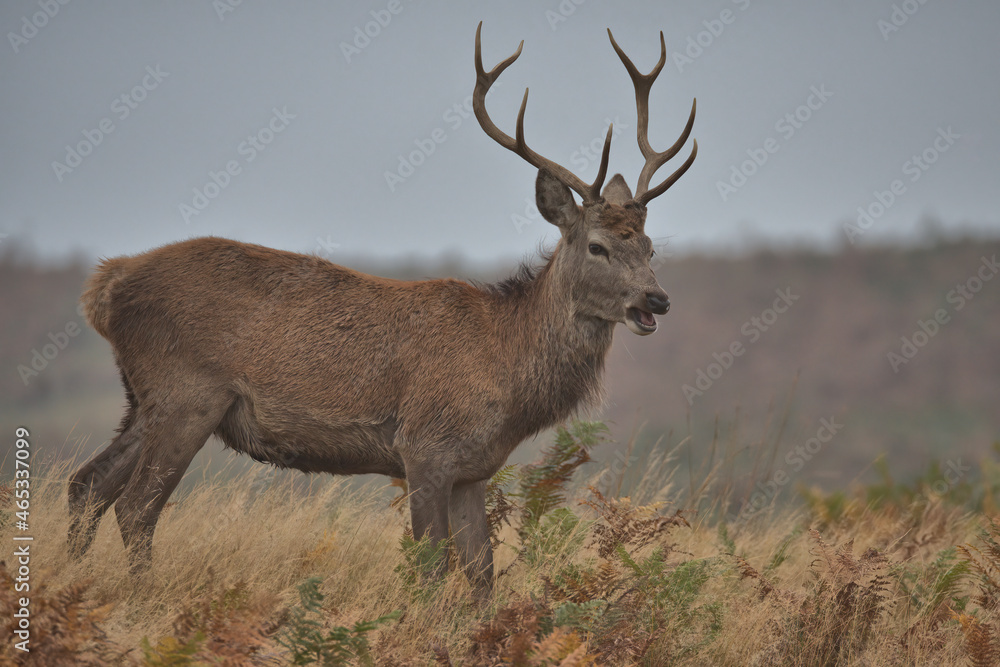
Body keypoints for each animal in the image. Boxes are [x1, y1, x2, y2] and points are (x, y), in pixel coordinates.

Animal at [66, 23, 697, 591]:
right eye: (598, 246)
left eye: (649, 246)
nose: (657, 299)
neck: (507, 370)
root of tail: (105, 285)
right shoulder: (424, 448)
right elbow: (432, 567)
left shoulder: (473, 469)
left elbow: (482, 574)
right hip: (188, 391)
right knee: (135, 507)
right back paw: (141, 598)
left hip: (144, 397)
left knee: (86, 485)